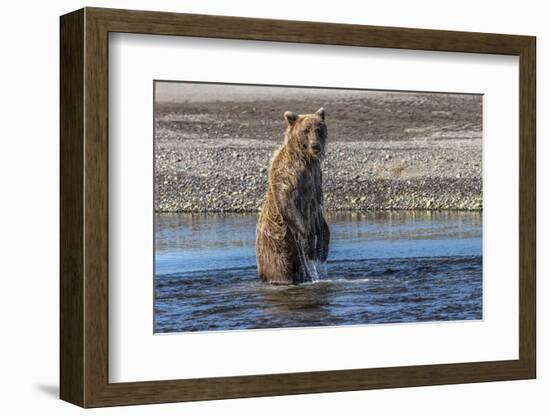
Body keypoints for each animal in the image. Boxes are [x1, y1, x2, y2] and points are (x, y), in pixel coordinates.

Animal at [256, 106, 330, 286]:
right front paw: (309, 244)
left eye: (319, 129)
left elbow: (319, 212)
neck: (306, 159)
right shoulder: (289, 175)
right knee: (280, 269)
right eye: (305, 130)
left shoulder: (316, 181)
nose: (315, 146)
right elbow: (287, 202)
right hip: (278, 246)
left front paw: (322, 249)